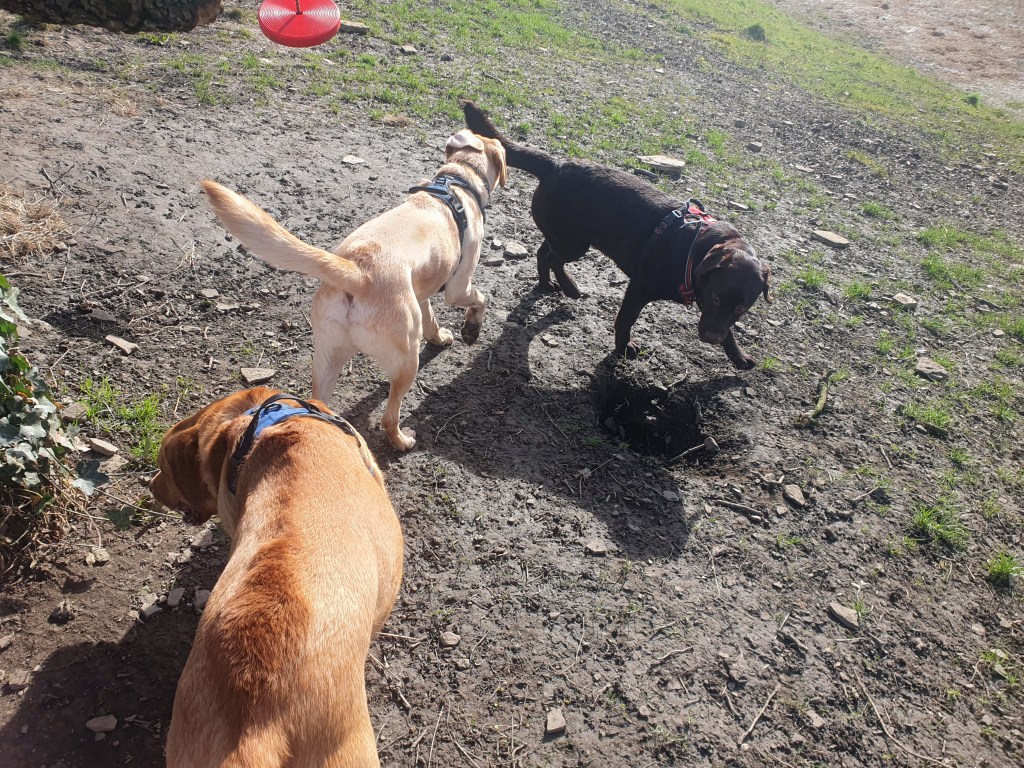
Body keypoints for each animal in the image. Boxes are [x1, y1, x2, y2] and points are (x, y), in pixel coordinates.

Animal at [202, 128, 507, 450]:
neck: (457, 181)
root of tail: (357, 271)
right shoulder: (458, 287)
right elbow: (480, 299)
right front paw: (471, 330)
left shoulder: (423, 292)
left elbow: (431, 320)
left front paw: (439, 337)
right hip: (406, 361)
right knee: (389, 417)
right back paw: (402, 441)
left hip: (327, 357)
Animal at [462, 101, 771, 369]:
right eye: (717, 298)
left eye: (741, 308)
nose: (710, 339)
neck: (695, 250)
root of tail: (555, 166)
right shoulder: (640, 288)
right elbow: (625, 320)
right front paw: (623, 348)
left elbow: (730, 331)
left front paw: (739, 356)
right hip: (574, 243)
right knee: (552, 256)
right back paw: (570, 286)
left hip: (565, 234)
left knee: (544, 251)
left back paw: (549, 283)